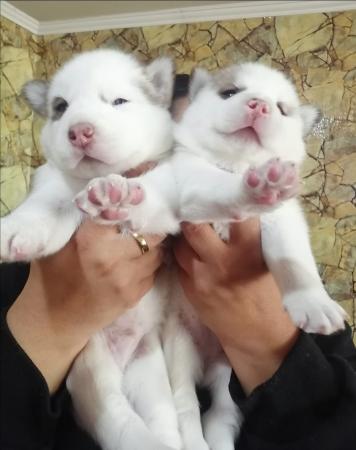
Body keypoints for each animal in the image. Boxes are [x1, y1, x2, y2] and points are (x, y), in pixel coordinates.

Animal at [0, 49, 182, 450]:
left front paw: (122, 196)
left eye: (119, 102)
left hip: (149, 368)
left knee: (162, 419)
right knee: (120, 420)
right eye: (60, 107)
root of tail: (123, 359)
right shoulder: (52, 183)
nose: (79, 130)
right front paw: (16, 228)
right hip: (92, 373)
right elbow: (47, 205)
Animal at [76, 61, 346, 448]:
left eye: (282, 109)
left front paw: (313, 301)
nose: (259, 105)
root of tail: (207, 361)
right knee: (184, 407)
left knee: (221, 412)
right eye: (230, 92)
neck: (234, 164)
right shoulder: (189, 187)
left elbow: (294, 260)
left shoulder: (284, 221)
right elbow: (216, 188)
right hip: (175, 352)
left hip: (230, 370)